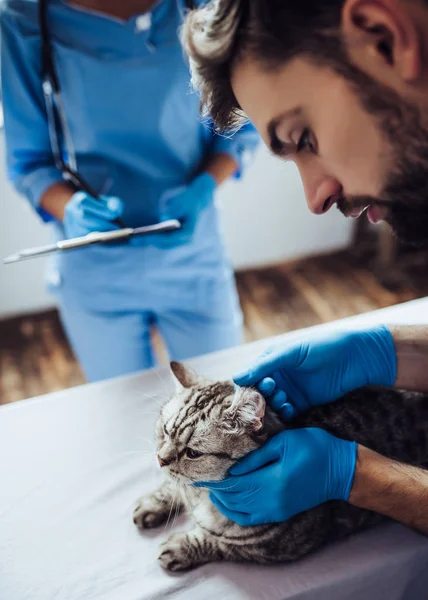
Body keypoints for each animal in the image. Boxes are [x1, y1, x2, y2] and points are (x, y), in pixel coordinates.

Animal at [133, 358, 428, 568]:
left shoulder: (268, 548)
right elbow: (173, 488)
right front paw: (153, 503)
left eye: (193, 453)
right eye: (165, 431)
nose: (160, 458)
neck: (206, 495)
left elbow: (217, 543)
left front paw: (180, 547)